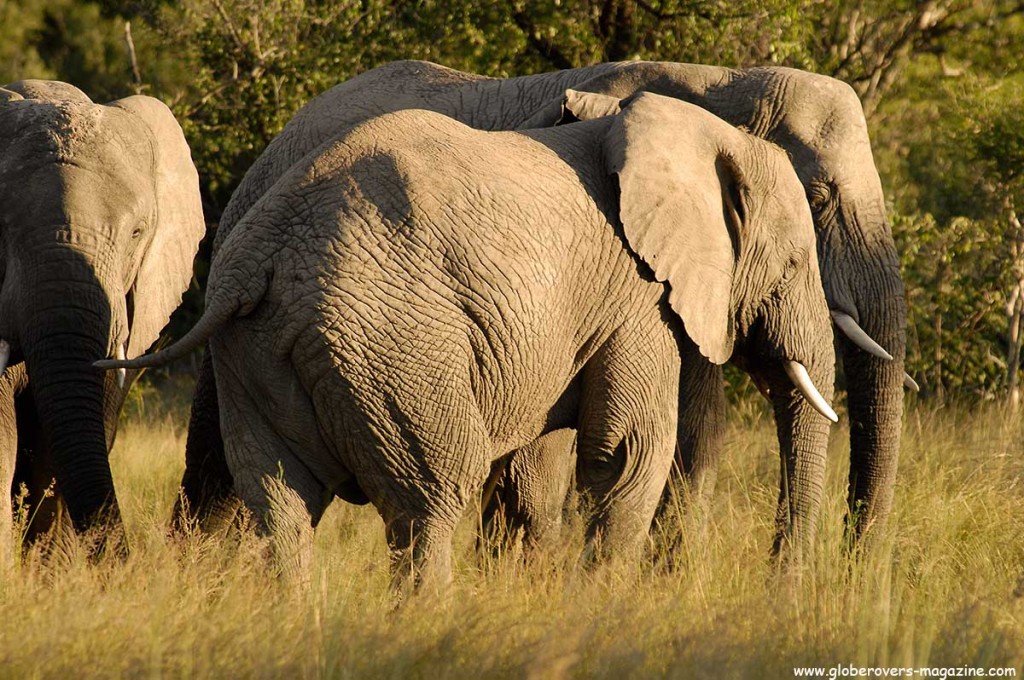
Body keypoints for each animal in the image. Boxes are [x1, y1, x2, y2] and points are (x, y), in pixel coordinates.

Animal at [99, 91, 839, 589]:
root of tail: (258, 259)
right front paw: (600, 610)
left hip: (253, 354)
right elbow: (625, 454)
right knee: (431, 499)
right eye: (794, 264)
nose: (779, 586)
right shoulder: (638, 298)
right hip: (391, 345)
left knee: (281, 504)